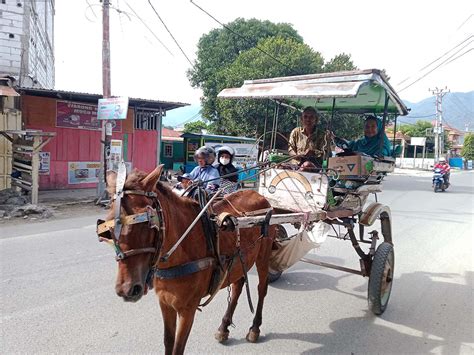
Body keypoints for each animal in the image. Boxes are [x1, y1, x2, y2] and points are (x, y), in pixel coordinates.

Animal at [100, 165, 278, 354]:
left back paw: (255, 328)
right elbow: (168, 341)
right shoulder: (165, 303)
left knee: (262, 288)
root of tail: (259, 196)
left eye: (148, 224)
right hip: (239, 260)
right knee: (237, 286)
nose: (127, 289)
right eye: (108, 228)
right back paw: (224, 327)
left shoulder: (188, 309)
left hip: (263, 254)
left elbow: (178, 347)